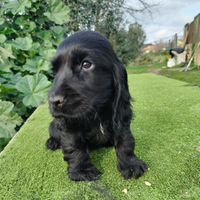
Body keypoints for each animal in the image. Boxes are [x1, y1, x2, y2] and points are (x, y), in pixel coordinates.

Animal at [46, 30, 148, 181]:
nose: (53, 101)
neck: (96, 111)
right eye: (54, 71)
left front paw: (130, 164)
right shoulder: (70, 123)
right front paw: (81, 170)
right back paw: (52, 142)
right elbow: (74, 145)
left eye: (86, 64)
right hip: (53, 125)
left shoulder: (120, 116)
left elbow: (125, 140)